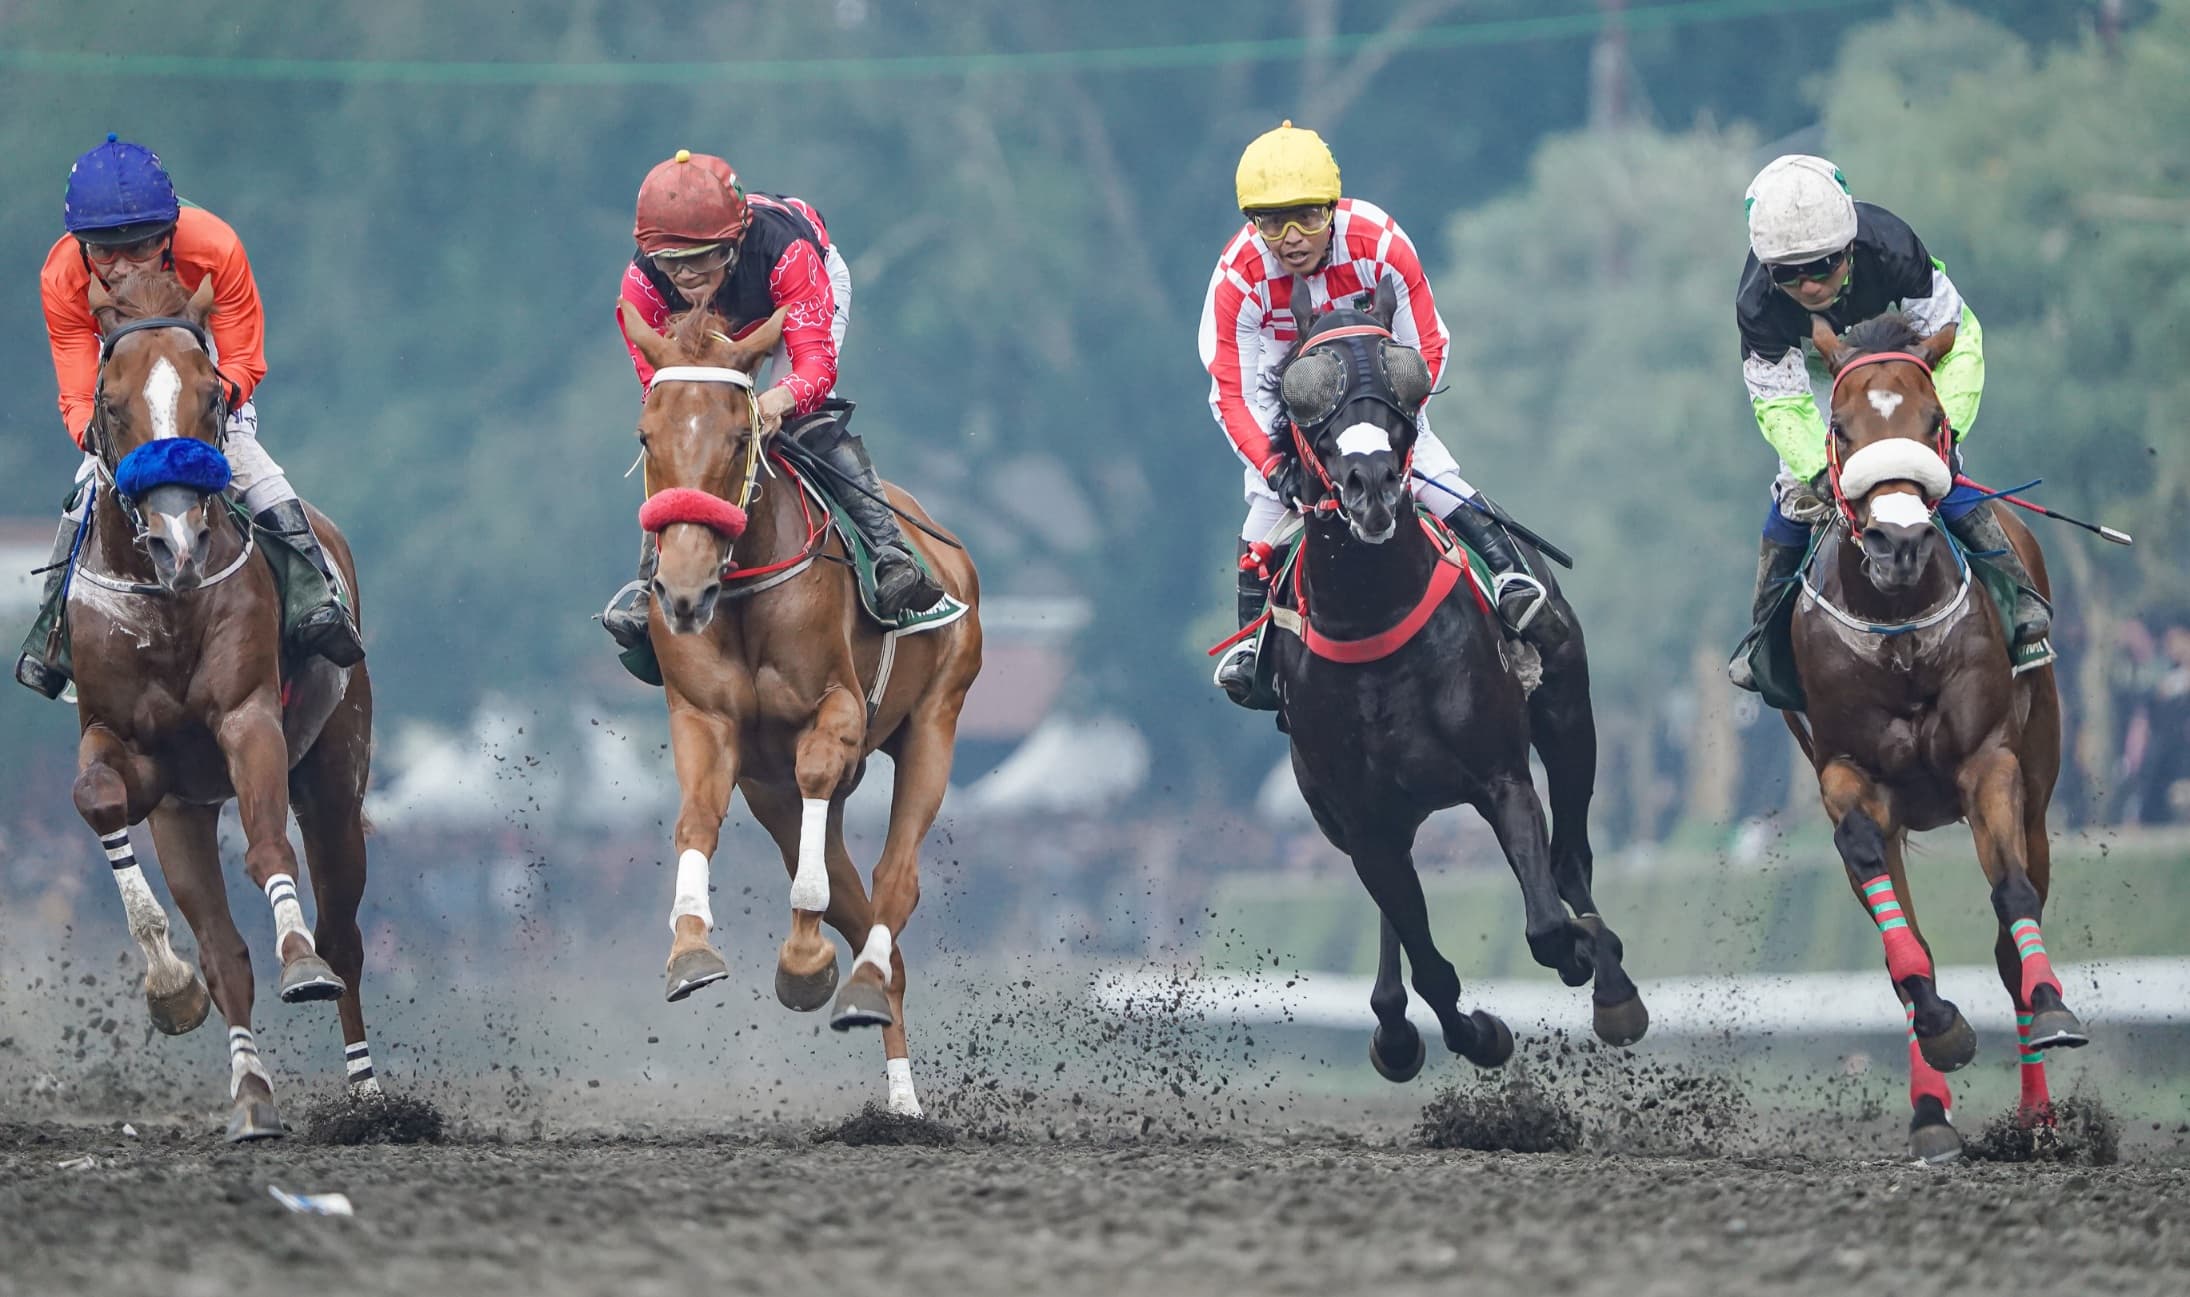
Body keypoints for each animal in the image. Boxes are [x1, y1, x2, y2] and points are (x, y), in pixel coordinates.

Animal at [64, 269, 379, 1140]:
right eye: (111, 402)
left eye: (211, 395)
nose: (177, 542)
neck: (166, 603)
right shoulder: (135, 751)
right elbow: (98, 795)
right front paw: (168, 987)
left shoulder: (248, 717)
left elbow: (269, 848)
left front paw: (299, 963)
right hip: (186, 813)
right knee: (224, 951)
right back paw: (252, 1095)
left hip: (335, 773)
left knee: (344, 936)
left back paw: (370, 1097)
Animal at [617, 300, 981, 1118]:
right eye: (648, 436)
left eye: (737, 436)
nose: (681, 592)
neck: (741, 589)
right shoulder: (705, 721)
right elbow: (696, 818)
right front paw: (691, 949)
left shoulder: (836, 711)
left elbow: (819, 771)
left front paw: (805, 959)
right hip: (773, 797)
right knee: (868, 917)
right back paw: (887, 1054)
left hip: (936, 719)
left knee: (893, 884)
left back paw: (869, 1006)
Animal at [1264, 281, 1646, 1082]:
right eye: (1305, 390)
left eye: (1400, 373)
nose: (1373, 485)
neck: (1374, 617)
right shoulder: (1364, 823)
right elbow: (1432, 965)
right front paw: (1468, 1031)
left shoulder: (1500, 774)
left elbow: (1544, 925)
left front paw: (1586, 955)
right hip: (1346, 819)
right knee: (1400, 929)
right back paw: (1394, 1025)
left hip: (1568, 714)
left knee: (1570, 856)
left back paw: (1609, 976)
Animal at [1789, 310, 2078, 1163]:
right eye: (1841, 428)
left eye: (1933, 420)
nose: (1899, 543)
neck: (1900, 632)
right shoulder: (1848, 774)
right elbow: (1899, 942)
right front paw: (1943, 1033)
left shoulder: (1990, 765)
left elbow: (2011, 900)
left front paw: (2054, 1011)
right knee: (1901, 936)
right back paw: (1931, 1109)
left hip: (2039, 782)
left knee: (2013, 933)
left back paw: (2039, 1113)